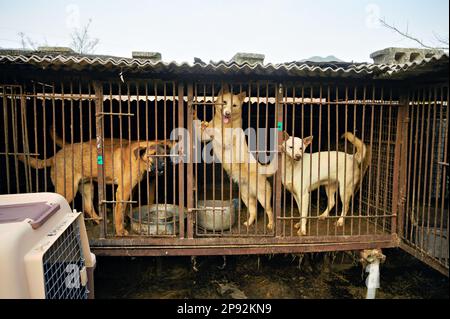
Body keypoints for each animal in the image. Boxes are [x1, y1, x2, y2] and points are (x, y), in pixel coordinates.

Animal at [196, 85, 274, 230]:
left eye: (234, 105)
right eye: (224, 103)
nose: (227, 113)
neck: (224, 123)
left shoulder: (226, 139)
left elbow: (217, 133)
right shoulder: (205, 137)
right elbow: (203, 131)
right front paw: (202, 124)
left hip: (263, 197)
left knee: (269, 211)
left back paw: (271, 224)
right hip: (246, 196)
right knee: (254, 211)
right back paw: (248, 223)